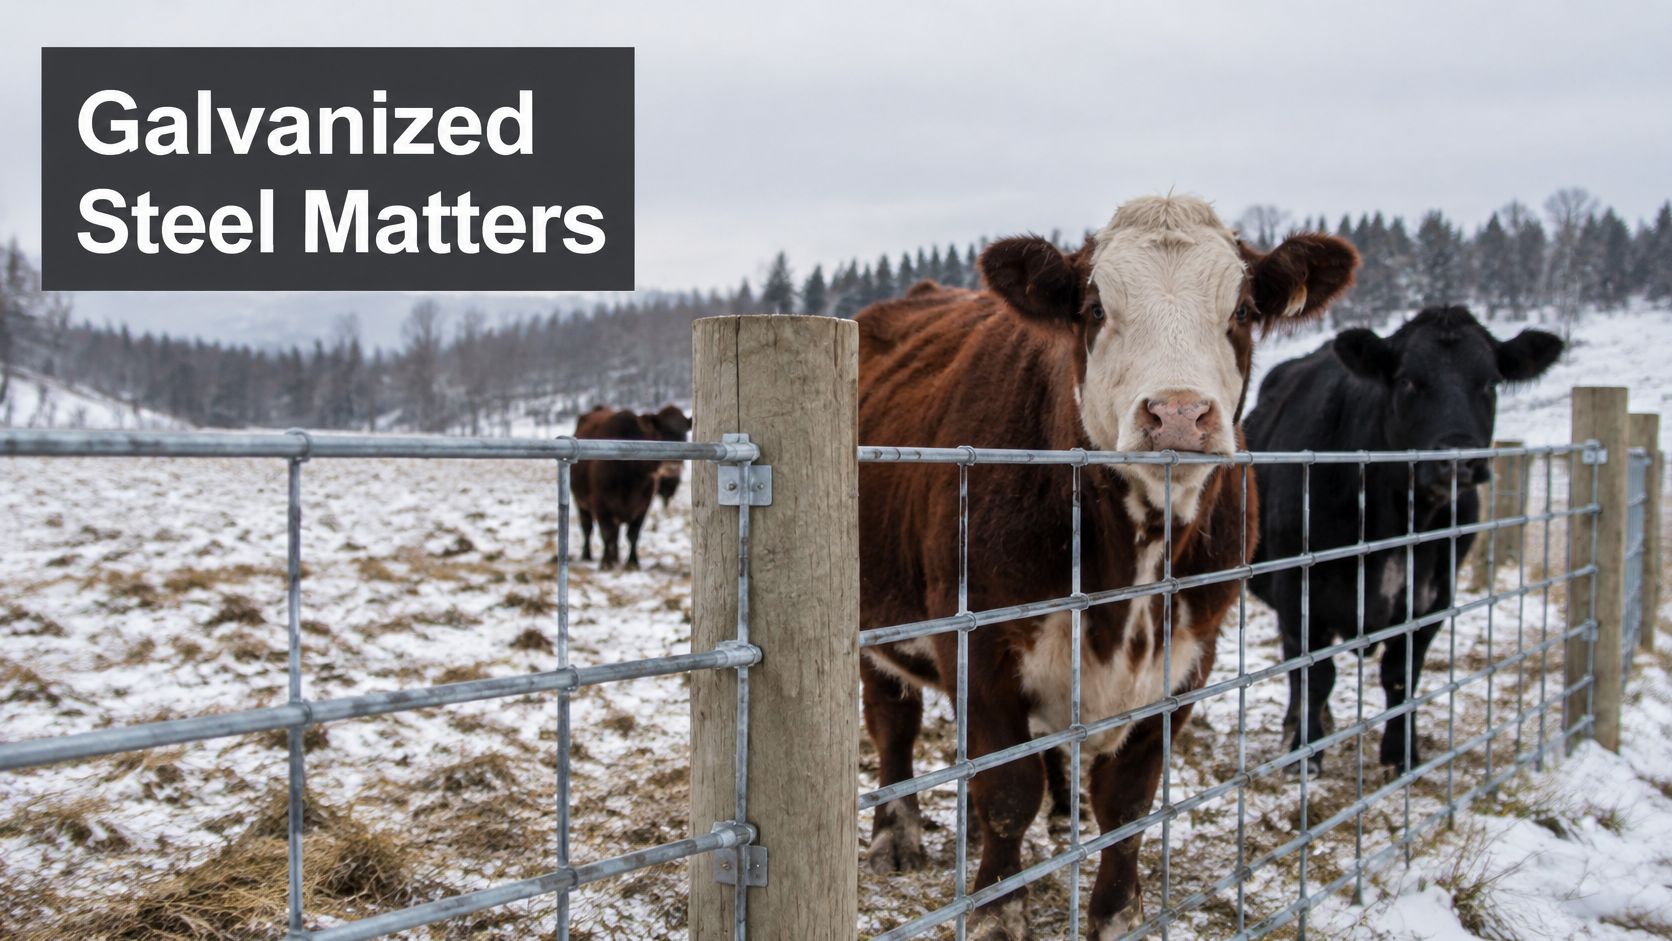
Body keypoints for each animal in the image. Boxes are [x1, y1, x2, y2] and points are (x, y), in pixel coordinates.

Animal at [571, 404, 692, 569]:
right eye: (659, 433)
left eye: (684, 435)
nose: (672, 468)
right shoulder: (601, 504)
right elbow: (606, 533)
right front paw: (606, 563)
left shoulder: (643, 505)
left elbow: (633, 534)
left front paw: (633, 562)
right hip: (581, 503)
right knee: (587, 528)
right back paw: (587, 555)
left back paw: (615, 557)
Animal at [858, 195, 1358, 939]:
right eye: (1095, 307)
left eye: (1241, 309)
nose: (1178, 412)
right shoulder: (977, 643)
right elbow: (1006, 791)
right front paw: (998, 909)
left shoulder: (1189, 654)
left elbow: (1127, 800)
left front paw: (1119, 913)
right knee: (894, 720)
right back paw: (898, 832)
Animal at [1245, 306, 1563, 774]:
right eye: (1408, 380)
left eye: (1490, 382)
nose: (1458, 460)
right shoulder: (1298, 591)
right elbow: (1315, 674)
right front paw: (1306, 750)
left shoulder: (1433, 597)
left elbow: (1401, 675)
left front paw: (1401, 751)